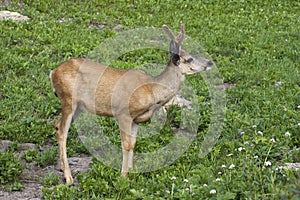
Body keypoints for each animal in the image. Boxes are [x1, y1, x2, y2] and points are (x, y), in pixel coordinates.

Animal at [50, 24, 212, 184]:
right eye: (190, 59)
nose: (210, 62)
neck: (152, 90)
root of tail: (53, 73)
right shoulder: (123, 113)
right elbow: (126, 144)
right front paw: (124, 176)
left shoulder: (136, 119)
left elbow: (133, 143)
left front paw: (132, 170)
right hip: (68, 99)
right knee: (62, 131)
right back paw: (68, 177)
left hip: (78, 106)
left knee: (57, 125)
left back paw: (62, 168)